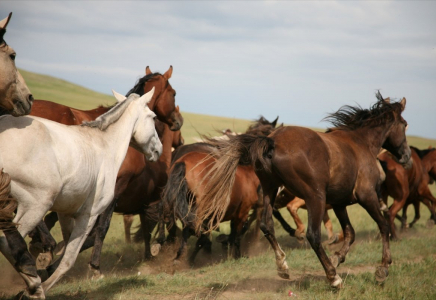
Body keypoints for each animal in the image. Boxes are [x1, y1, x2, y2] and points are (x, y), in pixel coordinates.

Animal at [0, 87, 162, 298]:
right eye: (153, 117)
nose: (159, 150)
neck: (105, 146)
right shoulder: (88, 216)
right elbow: (69, 258)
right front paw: (41, 283)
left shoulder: (65, 213)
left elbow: (66, 247)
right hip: (34, 206)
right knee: (8, 243)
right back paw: (35, 286)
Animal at [195, 95, 412, 288]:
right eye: (404, 124)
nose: (407, 156)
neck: (360, 143)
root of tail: (272, 142)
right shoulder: (367, 196)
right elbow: (383, 225)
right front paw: (382, 269)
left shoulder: (340, 203)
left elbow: (350, 233)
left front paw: (337, 258)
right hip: (315, 197)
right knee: (313, 235)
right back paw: (333, 279)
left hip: (270, 189)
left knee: (267, 225)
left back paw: (283, 266)